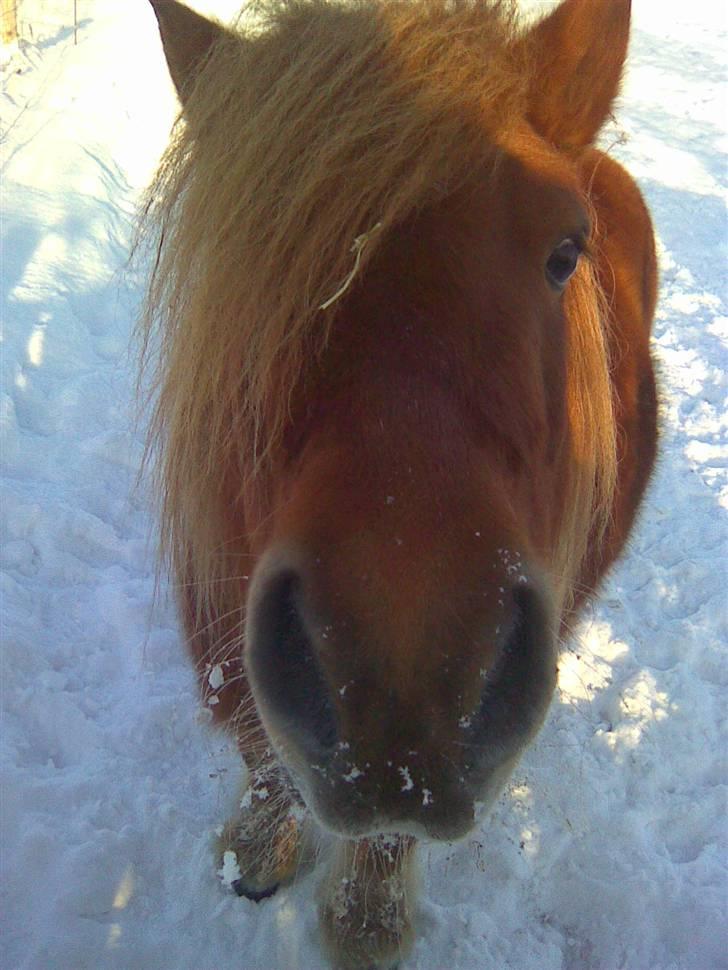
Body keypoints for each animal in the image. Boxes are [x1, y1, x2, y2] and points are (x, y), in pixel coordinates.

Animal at [141, 1, 656, 968]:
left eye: (566, 251)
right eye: (254, 260)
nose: (405, 695)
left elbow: (383, 833)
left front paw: (365, 926)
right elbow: (263, 756)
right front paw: (254, 851)